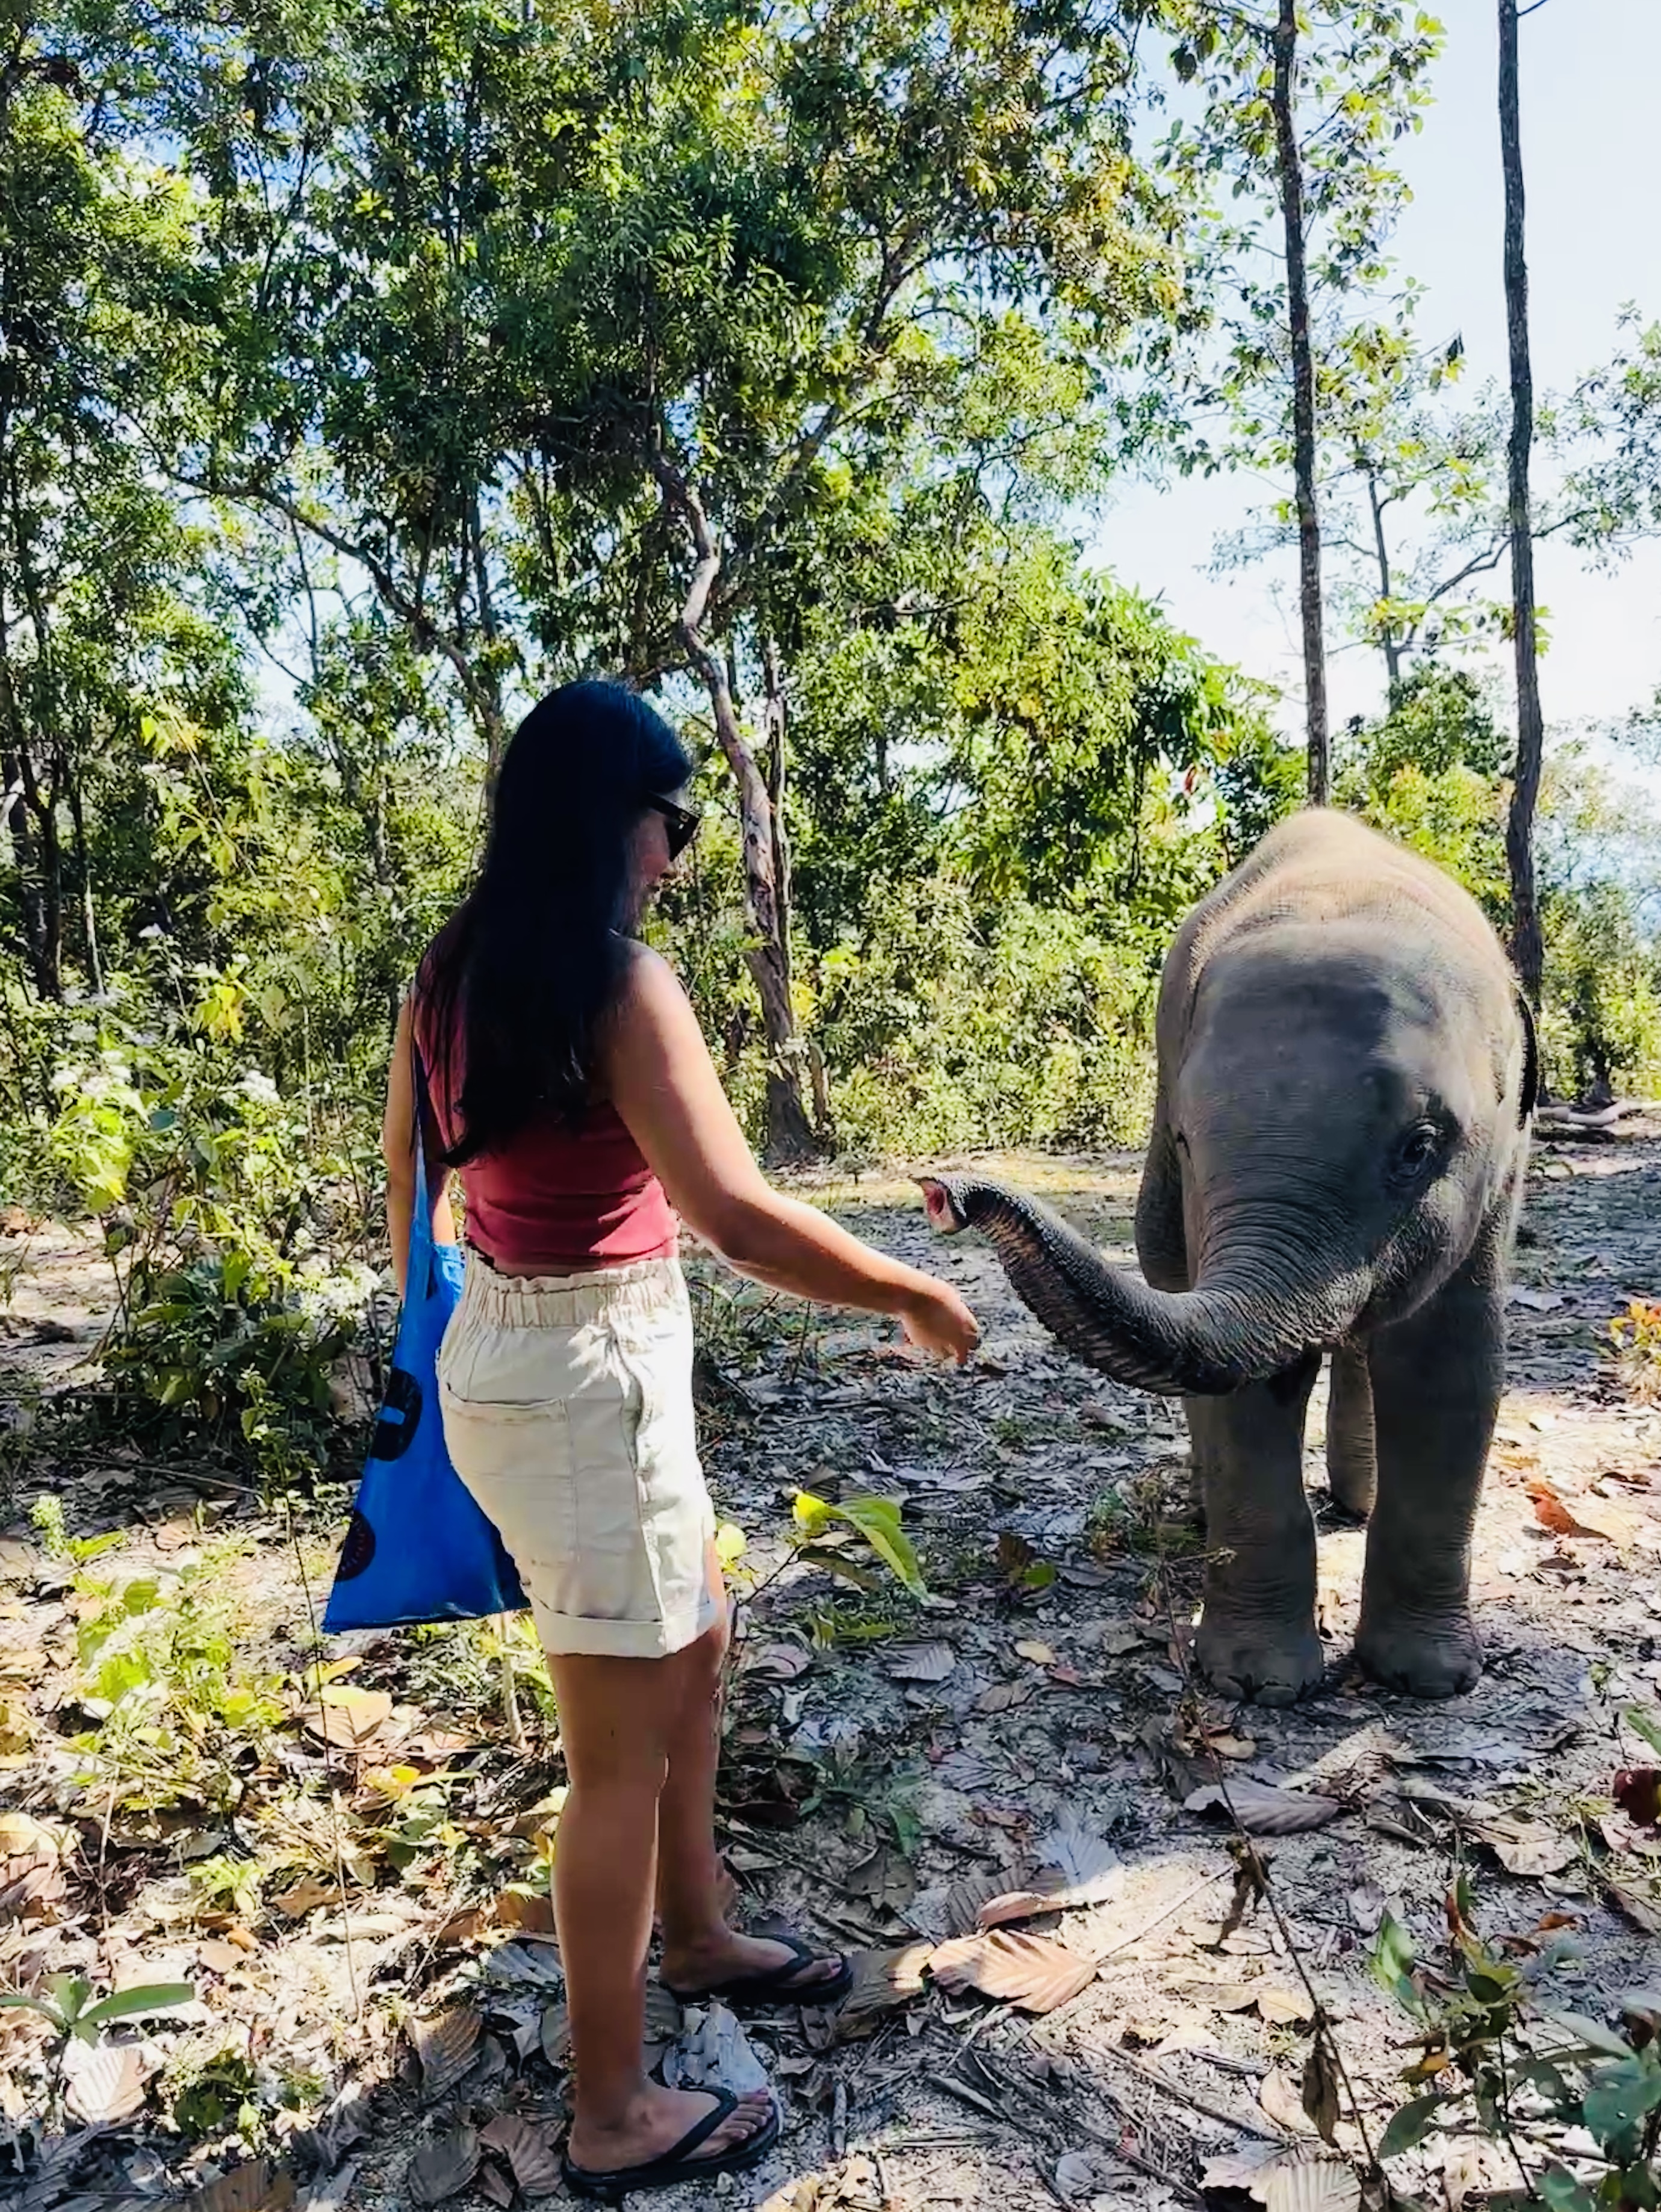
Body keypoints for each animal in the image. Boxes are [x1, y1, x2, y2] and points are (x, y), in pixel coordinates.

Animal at [922, 809, 1537, 1704]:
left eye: (1418, 1147)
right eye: (1183, 1138)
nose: (945, 1191)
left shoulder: (1496, 1177)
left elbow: (1451, 1367)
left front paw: (1426, 1680)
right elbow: (1249, 1388)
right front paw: (1256, 1684)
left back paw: (1354, 1502)